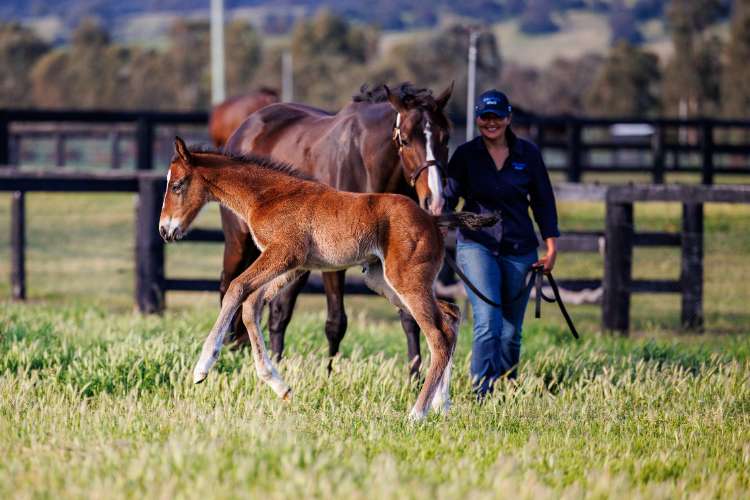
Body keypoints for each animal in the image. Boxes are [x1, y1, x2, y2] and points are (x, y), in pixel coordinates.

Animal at [159, 137, 497, 420]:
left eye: (177, 185)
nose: (165, 230)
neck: (267, 196)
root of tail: (432, 219)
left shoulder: (284, 253)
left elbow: (236, 288)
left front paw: (202, 368)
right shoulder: (295, 264)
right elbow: (252, 304)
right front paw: (279, 385)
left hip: (406, 281)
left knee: (438, 336)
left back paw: (417, 414)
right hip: (384, 281)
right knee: (451, 317)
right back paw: (442, 405)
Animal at [221, 82, 453, 376]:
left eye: (445, 138)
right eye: (406, 140)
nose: (435, 200)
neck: (364, 161)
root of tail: (244, 127)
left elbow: (409, 315)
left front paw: (414, 375)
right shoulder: (334, 264)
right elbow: (335, 322)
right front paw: (329, 374)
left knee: (278, 311)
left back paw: (271, 359)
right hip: (239, 242)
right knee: (228, 286)